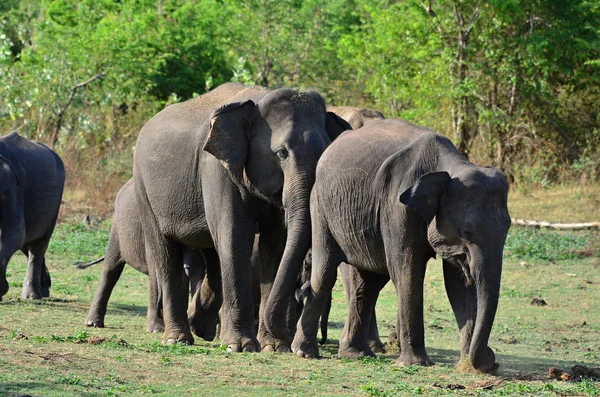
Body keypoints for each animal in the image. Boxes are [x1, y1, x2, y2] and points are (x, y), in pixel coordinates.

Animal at [0, 131, 64, 298]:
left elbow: (14, 234)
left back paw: (32, 296)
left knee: (38, 246)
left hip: (54, 205)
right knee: (27, 245)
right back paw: (44, 289)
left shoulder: (13, 190)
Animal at [134, 82, 350, 348]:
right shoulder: (216, 169)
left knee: (213, 255)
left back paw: (200, 326)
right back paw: (178, 339)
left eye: (324, 154)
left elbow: (274, 246)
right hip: (144, 189)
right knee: (166, 252)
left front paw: (274, 347)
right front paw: (241, 346)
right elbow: (235, 235)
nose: (288, 336)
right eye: (281, 153)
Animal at [292, 117, 508, 372]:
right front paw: (416, 363)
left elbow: (458, 284)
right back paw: (304, 352)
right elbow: (407, 273)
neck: (451, 166)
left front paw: (467, 365)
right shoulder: (396, 207)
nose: (492, 359)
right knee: (326, 273)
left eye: (508, 229)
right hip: (320, 205)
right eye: (467, 231)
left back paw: (355, 354)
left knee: (369, 284)